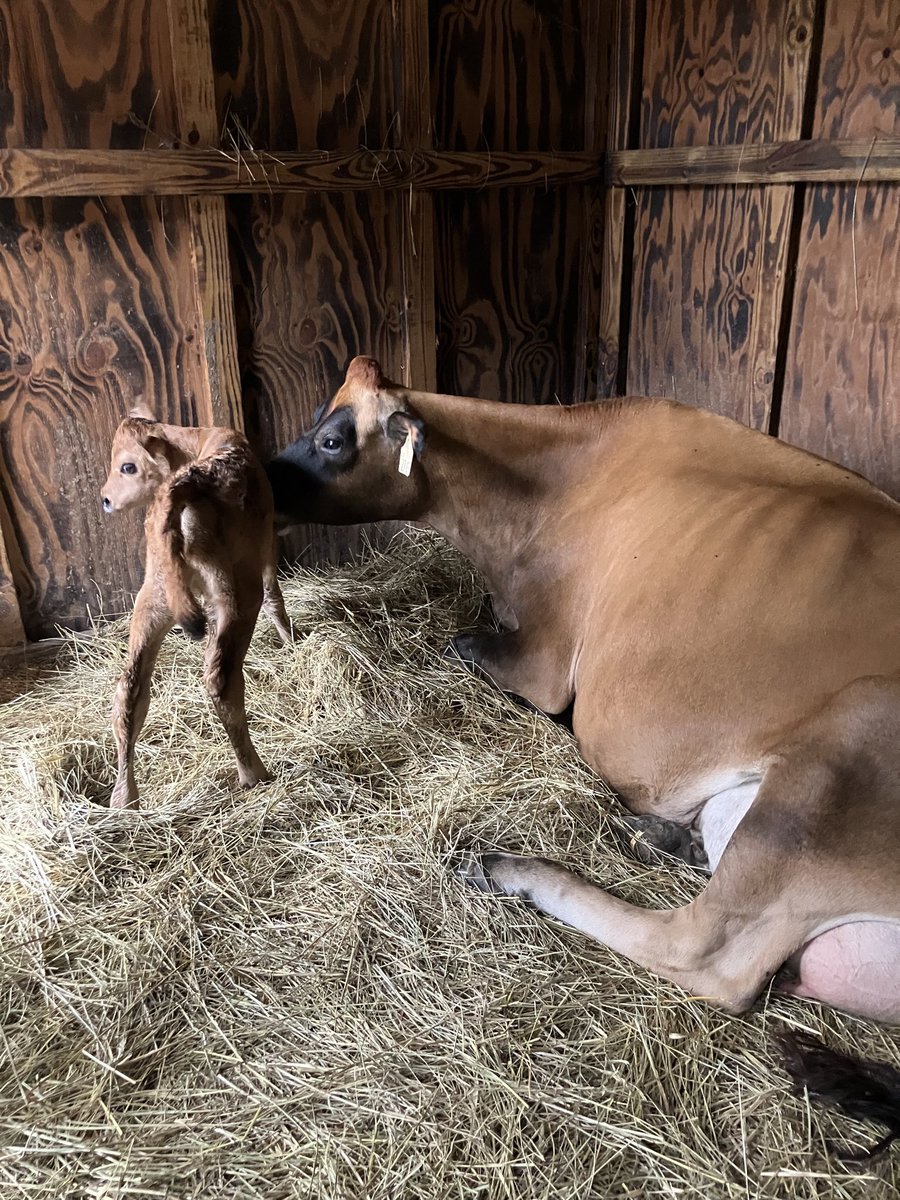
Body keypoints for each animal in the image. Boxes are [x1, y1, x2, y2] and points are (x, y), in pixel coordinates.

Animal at [101, 412, 293, 808]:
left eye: (127, 466)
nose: (105, 500)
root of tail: (183, 487)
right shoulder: (265, 545)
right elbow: (274, 591)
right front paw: (290, 640)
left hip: (153, 600)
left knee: (129, 692)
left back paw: (124, 799)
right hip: (234, 595)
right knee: (221, 678)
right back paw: (254, 773)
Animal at [266, 357, 900, 1042]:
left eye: (333, 440)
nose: (260, 480)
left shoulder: (543, 659)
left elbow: (463, 645)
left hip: (847, 746)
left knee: (705, 951)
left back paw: (511, 869)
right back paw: (656, 836)